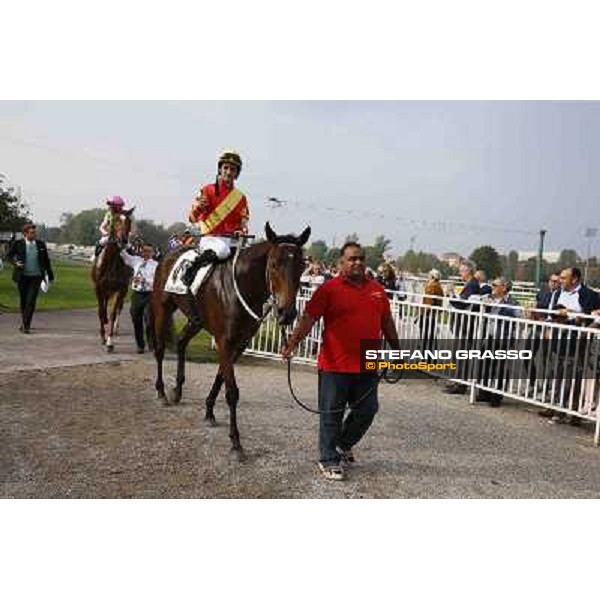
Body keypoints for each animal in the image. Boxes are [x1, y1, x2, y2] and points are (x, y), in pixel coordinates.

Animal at [91, 209, 134, 352]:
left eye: (129, 221)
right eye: (115, 220)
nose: (124, 240)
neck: (111, 263)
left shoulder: (121, 289)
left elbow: (113, 312)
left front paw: (109, 342)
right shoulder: (98, 287)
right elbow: (100, 311)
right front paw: (103, 337)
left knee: (118, 308)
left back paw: (115, 328)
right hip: (106, 289)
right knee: (104, 305)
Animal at [151, 223, 310, 458]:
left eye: (301, 266)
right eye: (273, 265)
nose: (287, 313)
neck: (242, 286)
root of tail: (169, 253)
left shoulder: (240, 343)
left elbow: (220, 378)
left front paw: (209, 411)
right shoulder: (224, 341)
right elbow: (232, 391)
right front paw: (236, 442)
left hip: (196, 320)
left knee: (180, 342)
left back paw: (177, 390)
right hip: (162, 309)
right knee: (160, 349)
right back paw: (161, 392)